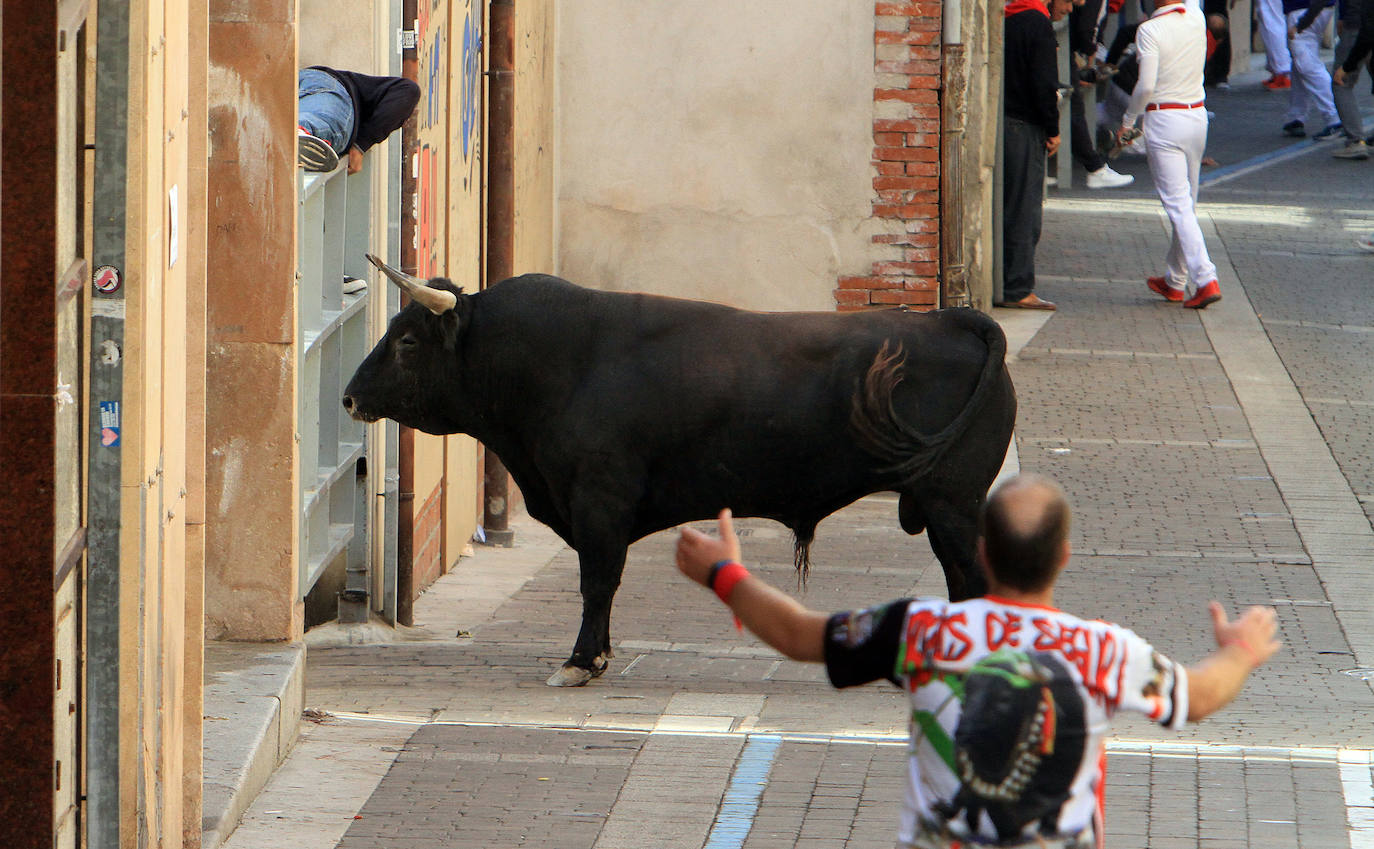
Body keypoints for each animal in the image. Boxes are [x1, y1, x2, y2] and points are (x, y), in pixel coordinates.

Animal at [340, 254, 1022, 684]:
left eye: (407, 340)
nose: (348, 397)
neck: (551, 361)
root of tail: (952, 318)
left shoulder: (599, 503)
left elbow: (598, 582)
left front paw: (582, 661)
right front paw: (596, 656)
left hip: (953, 503)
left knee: (972, 577)